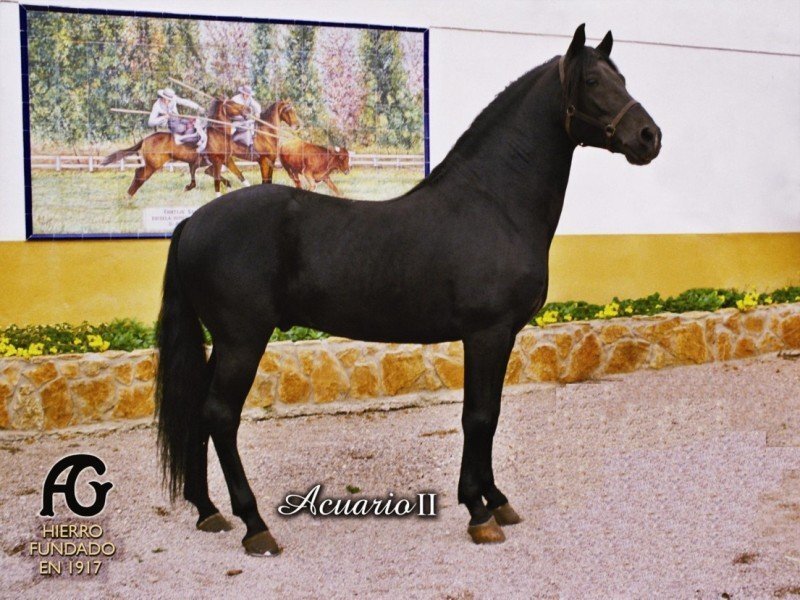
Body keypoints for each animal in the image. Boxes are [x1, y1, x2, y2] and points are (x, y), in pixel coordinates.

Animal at [101, 99, 250, 197]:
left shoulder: (227, 160)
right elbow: (217, 182)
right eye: (232, 103)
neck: (219, 132)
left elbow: (240, 176)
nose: (247, 109)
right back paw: (128, 196)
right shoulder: (217, 162)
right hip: (153, 164)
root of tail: (146, 139)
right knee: (139, 175)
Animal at [155, 25, 661, 556]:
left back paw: (208, 510)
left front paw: (496, 500)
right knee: (220, 415)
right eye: (592, 80)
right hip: (242, 340)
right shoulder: (486, 333)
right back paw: (254, 525)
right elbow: (478, 416)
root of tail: (192, 223)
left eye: (621, 78)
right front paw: (479, 511)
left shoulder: (500, 337)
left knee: (198, 410)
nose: (650, 137)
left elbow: (491, 414)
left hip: (225, 341)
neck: (495, 204)